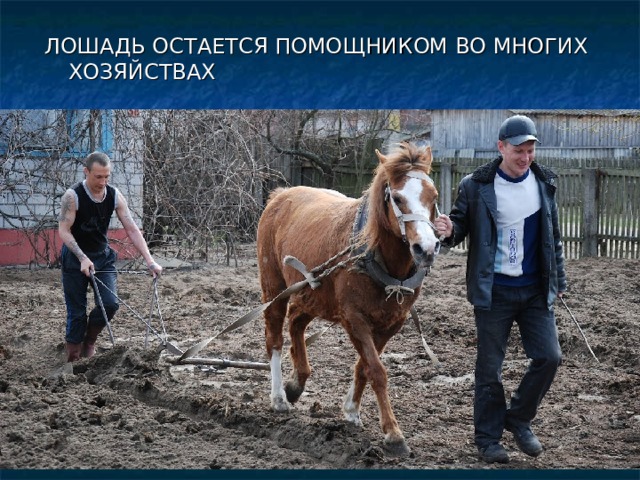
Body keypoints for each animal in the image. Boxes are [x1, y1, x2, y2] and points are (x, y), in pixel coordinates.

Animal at [256, 142, 441, 456]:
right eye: (398, 198)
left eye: (434, 196)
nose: (426, 249)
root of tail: (280, 196)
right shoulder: (354, 318)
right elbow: (376, 370)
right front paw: (393, 434)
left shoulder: (391, 323)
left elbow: (364, 367)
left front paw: (352, 410)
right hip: (274, 289)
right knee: (275, 338)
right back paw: (279, 397)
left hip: (313, 294)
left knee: (296, 322)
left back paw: (296, 383)